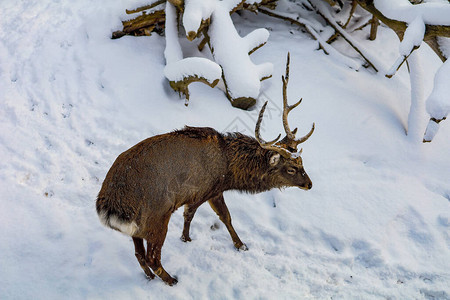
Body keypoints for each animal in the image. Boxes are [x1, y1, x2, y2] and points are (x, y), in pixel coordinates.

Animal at [96, 52, 312, 284]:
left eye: (302, 162)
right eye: (291, 168)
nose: (309, 184)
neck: (230, 169)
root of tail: (110, 205)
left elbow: (197, 216)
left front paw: (188, 238)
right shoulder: (208, 190)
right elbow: (219, 216)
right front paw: (240, 244)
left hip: (139, 227)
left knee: (139, 254)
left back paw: (151, 277)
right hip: (157, 216)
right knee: (152, 257)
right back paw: (171, 280)